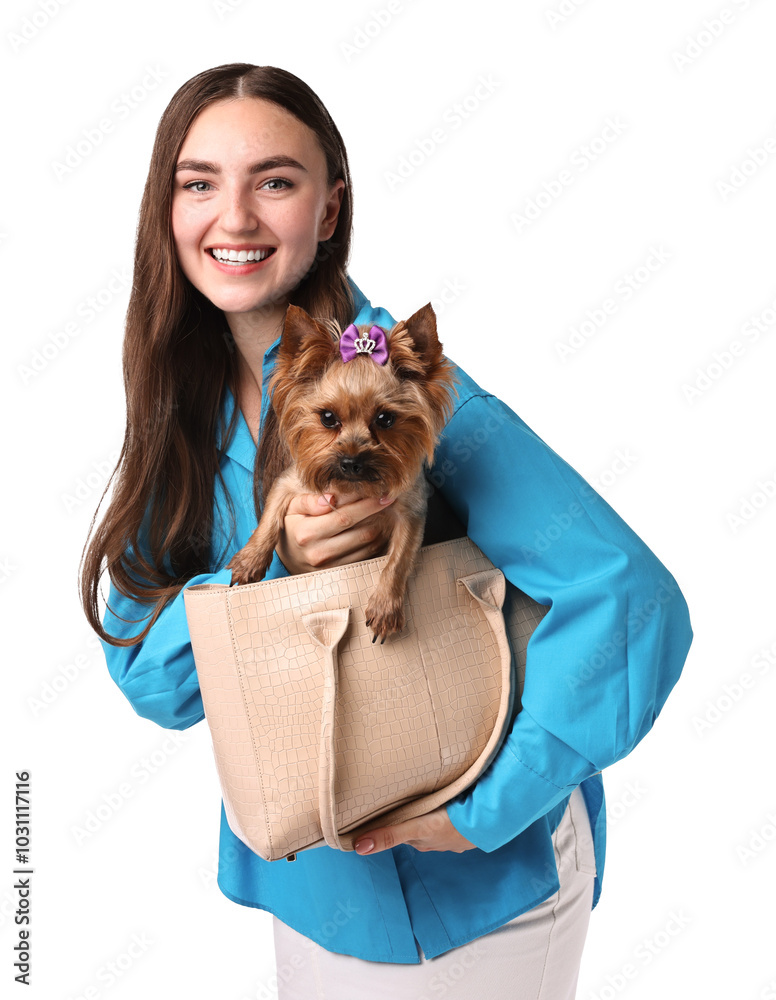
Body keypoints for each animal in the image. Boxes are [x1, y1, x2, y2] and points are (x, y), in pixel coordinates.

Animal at [224, 300, 458, 640]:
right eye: (327, 417)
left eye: (385, 419)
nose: (350, 462)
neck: (354, 487)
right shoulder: (291, 482)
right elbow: (270, 517)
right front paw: (250, 560)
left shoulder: (410, 510)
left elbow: (398, 559)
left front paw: (385, 607)